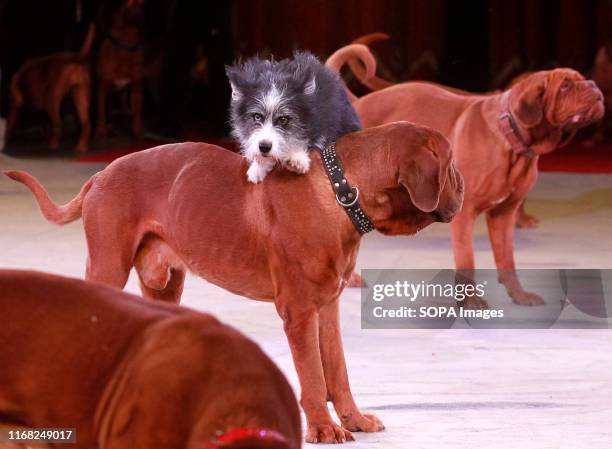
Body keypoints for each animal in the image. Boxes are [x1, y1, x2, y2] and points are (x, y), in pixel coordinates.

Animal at [98, 0, 146, 139]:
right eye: (128, 2)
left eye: (142, 3)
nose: (139, 12)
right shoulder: (103, 89)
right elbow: (101, 112)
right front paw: (101, 131)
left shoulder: (136, 88)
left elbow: (137, 115)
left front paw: (138, 133)